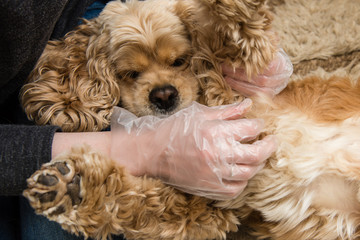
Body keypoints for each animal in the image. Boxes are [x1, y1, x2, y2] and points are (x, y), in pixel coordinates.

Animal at [21, 0, 360, 240]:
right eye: (130, 73)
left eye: (179, 61)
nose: (163, 95)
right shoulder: (201, 209)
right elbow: (133, 201)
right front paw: (73, 189)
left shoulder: (242, 83)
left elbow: (233, 35)